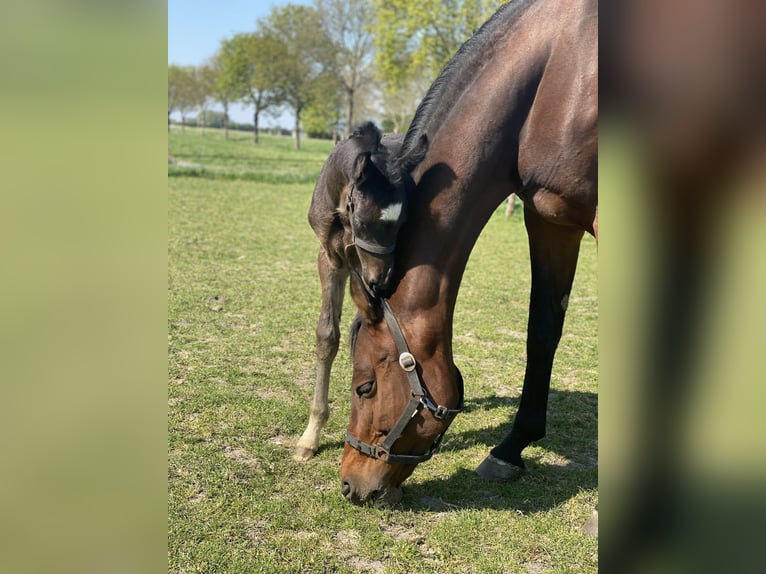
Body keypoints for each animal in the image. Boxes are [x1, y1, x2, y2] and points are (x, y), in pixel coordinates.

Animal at [294, 122, 428, 464]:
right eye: (364, 222)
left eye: (404, 223)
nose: (382, 281)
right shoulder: (330, 259)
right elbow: (328, 335)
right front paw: (310, 437)